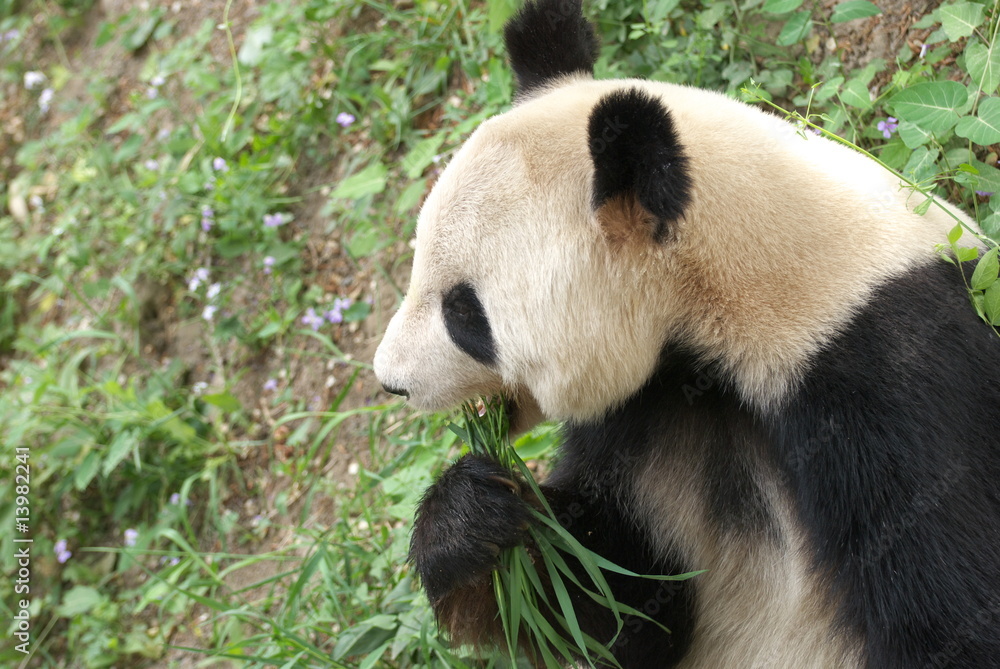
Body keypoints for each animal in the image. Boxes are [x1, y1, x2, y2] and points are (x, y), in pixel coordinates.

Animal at [373, 0, 1000, 667]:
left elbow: (954, 610)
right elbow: (628, 601)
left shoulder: (890, 378)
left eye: (465, 313)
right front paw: (473, 522)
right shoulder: (647, 413)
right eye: (415, 261)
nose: (391, 382)